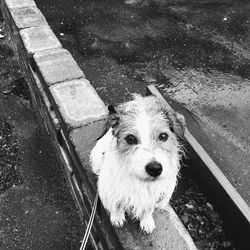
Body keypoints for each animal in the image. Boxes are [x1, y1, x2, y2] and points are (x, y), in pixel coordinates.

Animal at [90, 94, 186, 234]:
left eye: (163, 136)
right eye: (130, 139)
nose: (155, 169)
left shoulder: (153, 194)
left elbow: (148, 208)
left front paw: (146, 221)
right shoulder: (111, 187)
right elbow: (116, 204)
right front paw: (117, 217)